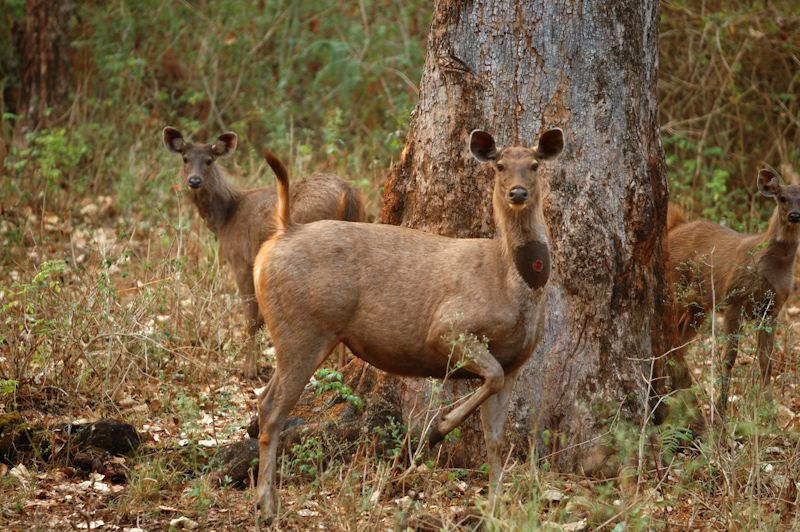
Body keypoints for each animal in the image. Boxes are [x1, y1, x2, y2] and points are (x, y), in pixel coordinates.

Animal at [162, 128, 366, 378]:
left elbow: (251, 317)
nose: (194, 181)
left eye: (210, 160)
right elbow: (259, 319)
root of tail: (347, 192)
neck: (225, 218)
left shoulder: (241, 259)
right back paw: (341, 365)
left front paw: (249, 369)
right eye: (185, 158)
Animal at [250, 127, 564, 516]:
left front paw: (495, 505)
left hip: (294, 329)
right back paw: (266, 503)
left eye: (534, 164)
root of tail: (283, 231)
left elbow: (496, 437)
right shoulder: (447, 325)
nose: (517, 193)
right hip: (304, 327)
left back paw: (270, 498)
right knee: (273, 408)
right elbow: (488, 377)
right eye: (500, 165)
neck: (510, 282)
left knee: (264, 400)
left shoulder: (515, 362)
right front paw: (439, 428)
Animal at [668, 169, 800, 412]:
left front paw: (770, 413)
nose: (795, 216)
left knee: (681, 343)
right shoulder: (734, 300)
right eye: (782, 198)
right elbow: (729, 357)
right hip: (676, 290)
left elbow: (766, 361)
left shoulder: (773, 309)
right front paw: (721, 409)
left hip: (697, 307)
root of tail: (674, 227)